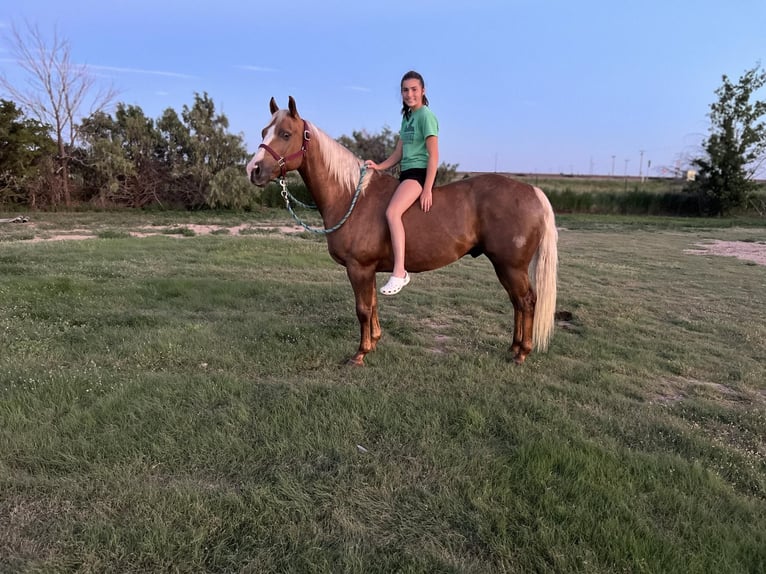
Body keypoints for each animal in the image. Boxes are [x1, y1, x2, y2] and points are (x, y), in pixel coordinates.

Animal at [246, 96, 558, 366]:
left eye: (286, 134)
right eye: (264, 131)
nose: (254, 169)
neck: (352, 196)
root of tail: (532, 191)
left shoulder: (359, 268)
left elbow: (362, 309)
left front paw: (360, 353)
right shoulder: (368, 269)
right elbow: (372, 305)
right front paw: (374, 342)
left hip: (511, 266)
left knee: (526, 301)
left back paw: (522, 352)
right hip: (505, 267)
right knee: (517, 303)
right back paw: (514, 348)